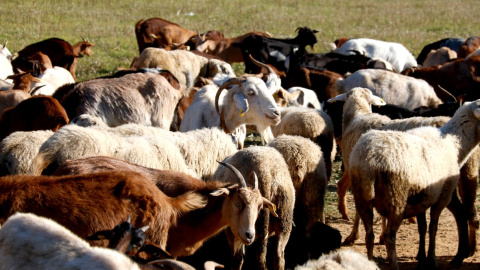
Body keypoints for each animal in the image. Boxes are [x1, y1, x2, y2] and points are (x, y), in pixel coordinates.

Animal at [348, 99, 480, 270]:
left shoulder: (422, 197)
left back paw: (370, 262)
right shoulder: (442, 196)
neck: (456, 142)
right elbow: (433, 227)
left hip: (361, 197)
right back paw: (394, 265)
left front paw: (422, 258)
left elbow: (422, 227)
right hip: (396, 198)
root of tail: (369, 160)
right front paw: (431, 259)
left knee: (369, 235)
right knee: (390, 236)